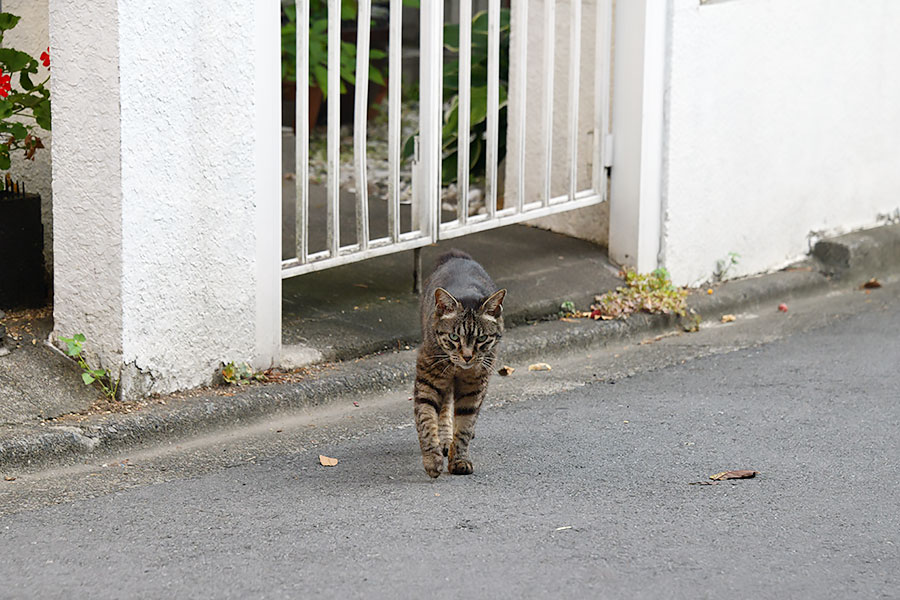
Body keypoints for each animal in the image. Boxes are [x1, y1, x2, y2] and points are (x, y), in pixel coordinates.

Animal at [414, 248, 506, 478]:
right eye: (454, 337)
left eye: (482, 338)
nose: (467, 356)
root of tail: (457, 256)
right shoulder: (428, 381)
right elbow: (426, 420)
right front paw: (432, 459)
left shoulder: (474, 388)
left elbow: (464, 426)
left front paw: (459, 459)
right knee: (445, 407)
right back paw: (444, 439)